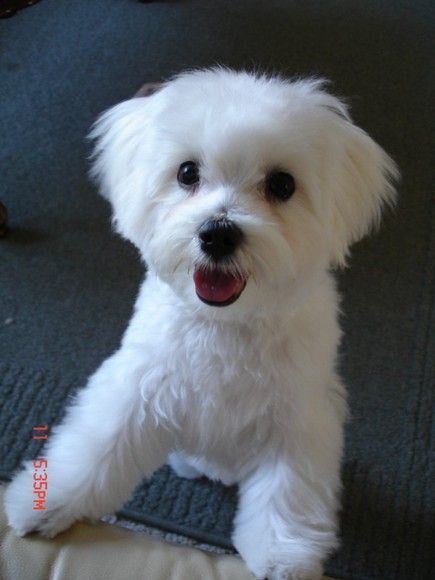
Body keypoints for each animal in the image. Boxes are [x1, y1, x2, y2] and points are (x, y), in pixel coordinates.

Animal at [4, 69, 398, 580]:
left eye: (282, 184)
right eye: (187, 173)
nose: (218, 234)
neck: (225, 321)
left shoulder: (297, 416)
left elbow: (288, 490)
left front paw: (283, 553)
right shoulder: (138, 385)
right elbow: (97, 449)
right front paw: (47, 502)